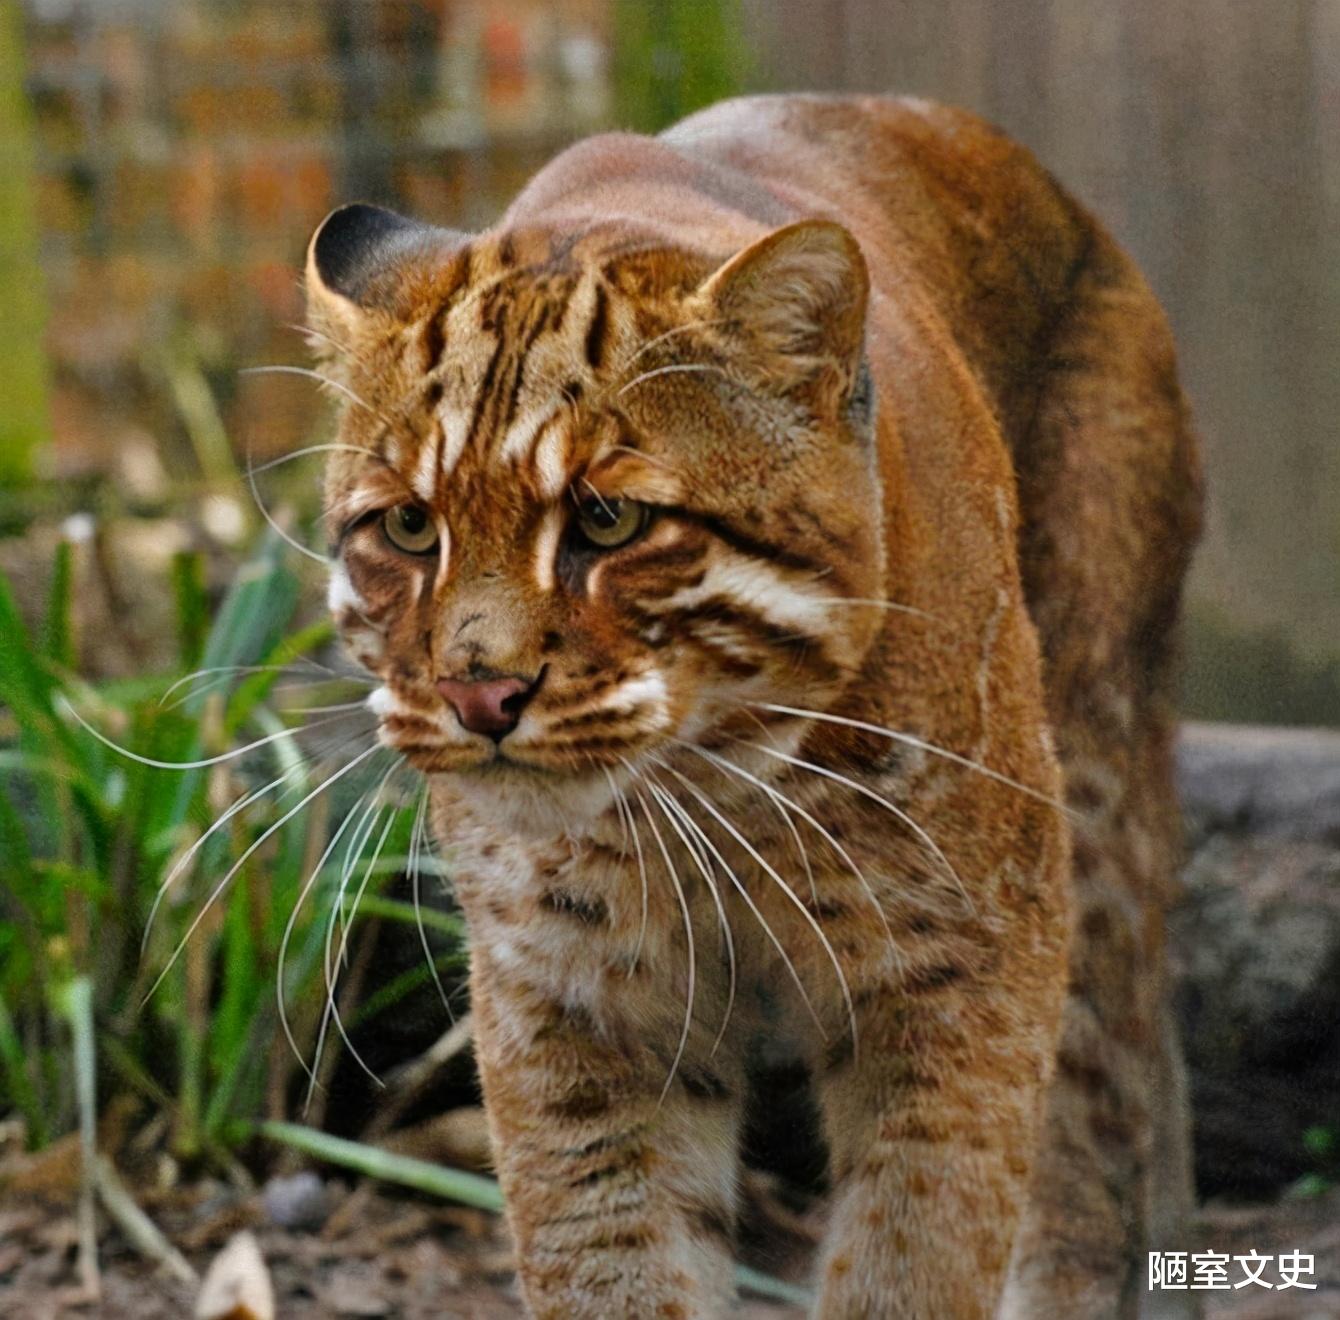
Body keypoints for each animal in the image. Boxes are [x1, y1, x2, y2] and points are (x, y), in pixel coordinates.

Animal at [305, 93, 1202, 1318]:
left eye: (609, 522)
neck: (712, 793)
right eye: (406, 528)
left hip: (1092, 777)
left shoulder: (964, 961)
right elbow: (615, 1261)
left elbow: (919, 1246)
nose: (477, 694)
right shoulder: (575, 1001)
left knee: (1100, 1096)